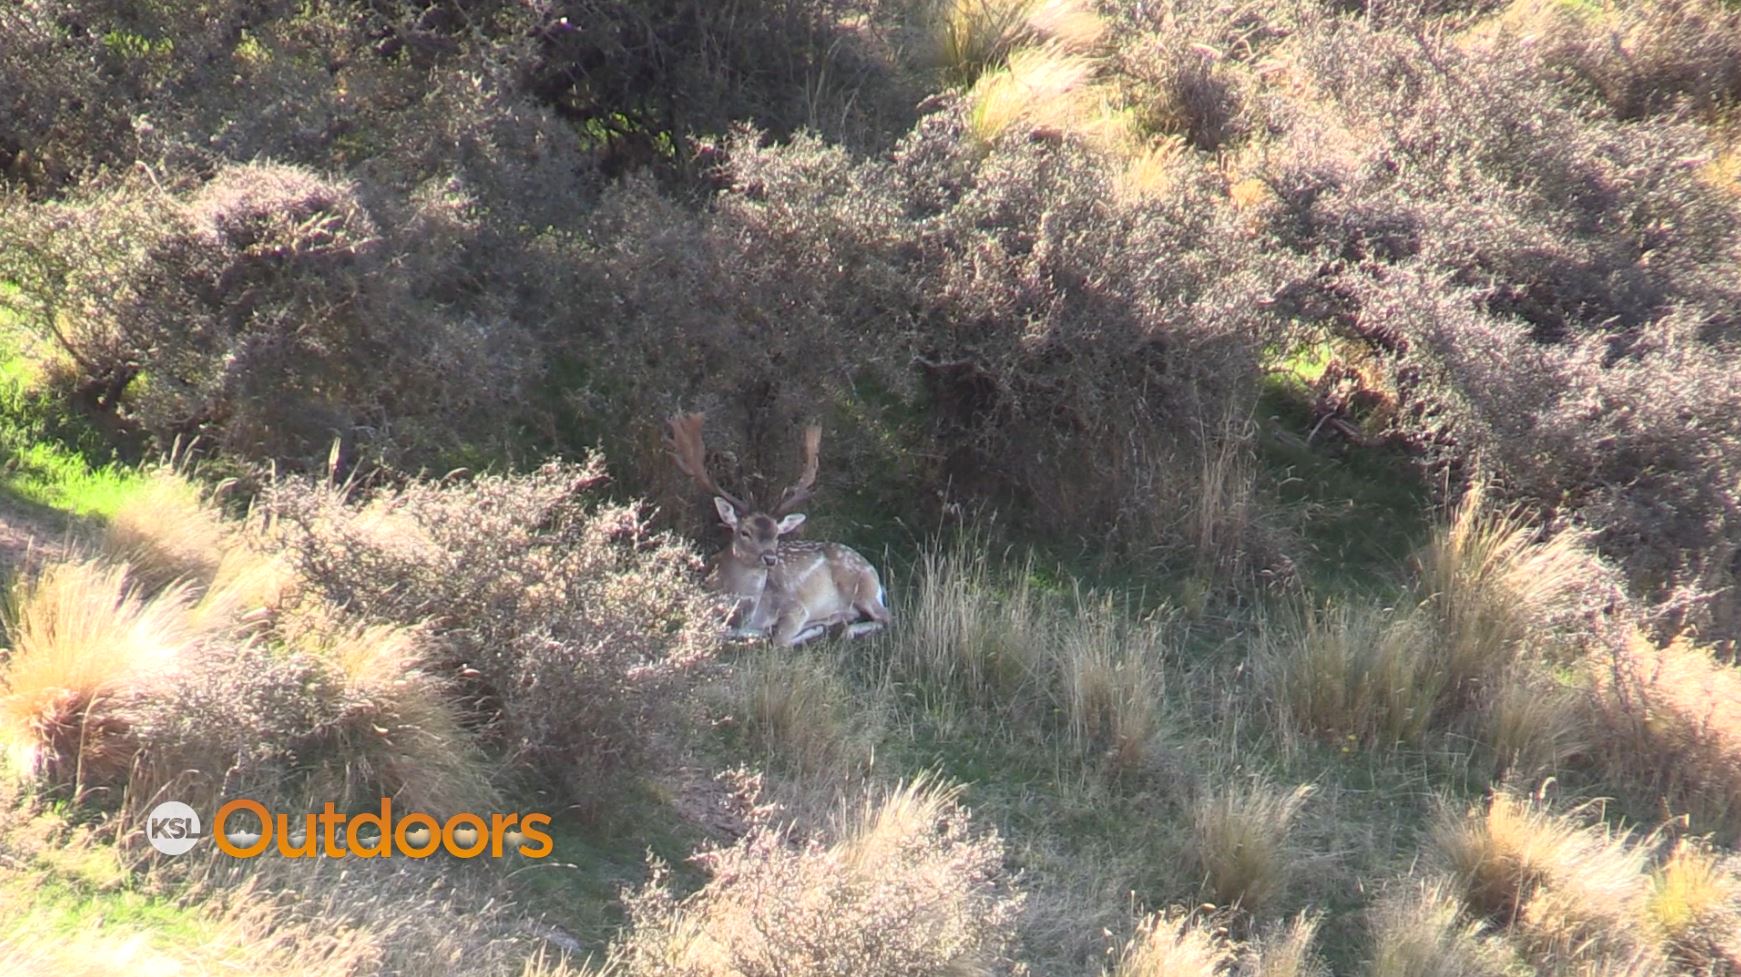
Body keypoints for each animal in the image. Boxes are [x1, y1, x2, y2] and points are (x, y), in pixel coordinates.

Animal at [666, 412, 891, 647]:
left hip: (862, 586)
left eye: (777, 535)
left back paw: (842, 629)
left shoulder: (795, 607)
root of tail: (873, 571)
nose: (770, 558)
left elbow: (778, 641)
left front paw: (805, 631)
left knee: (887, 617)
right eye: (745, 532)